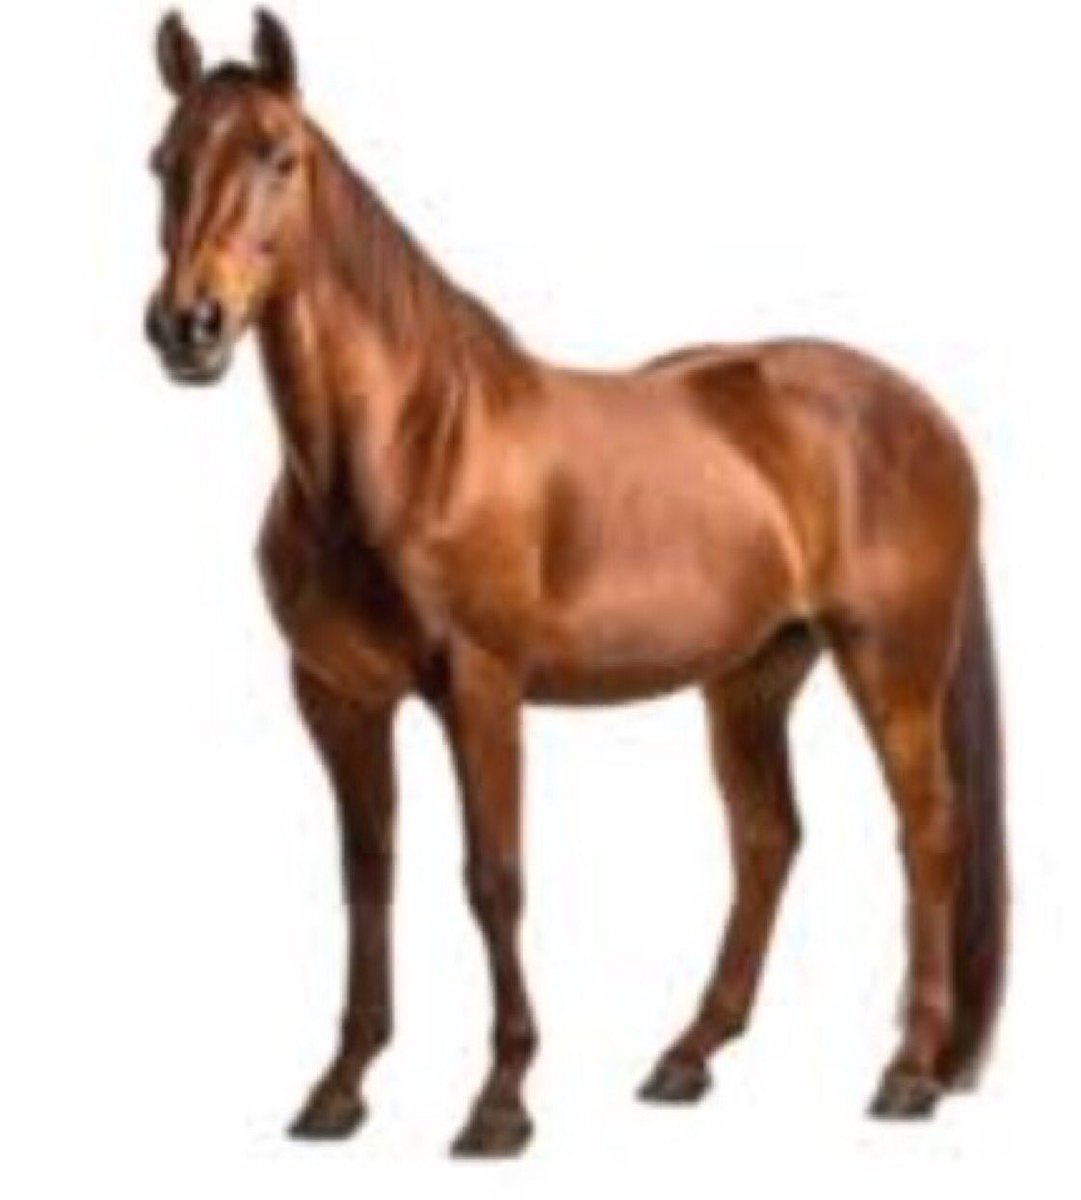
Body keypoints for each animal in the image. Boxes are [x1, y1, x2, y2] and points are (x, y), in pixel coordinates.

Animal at [145, 10, 1007, 1157]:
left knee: (927, 833)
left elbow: (494, 879)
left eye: (279, 157)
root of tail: (921, 410)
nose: (186, 326)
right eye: (162, 162)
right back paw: (687, 1057)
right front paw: (340, 1088)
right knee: (767, 839)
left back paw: (907, 1073)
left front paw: (500, 1103)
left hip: (891, 665)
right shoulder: (336, 697)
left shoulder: (481, 686)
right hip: (750, 678)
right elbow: (367, 878)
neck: (408, 444)